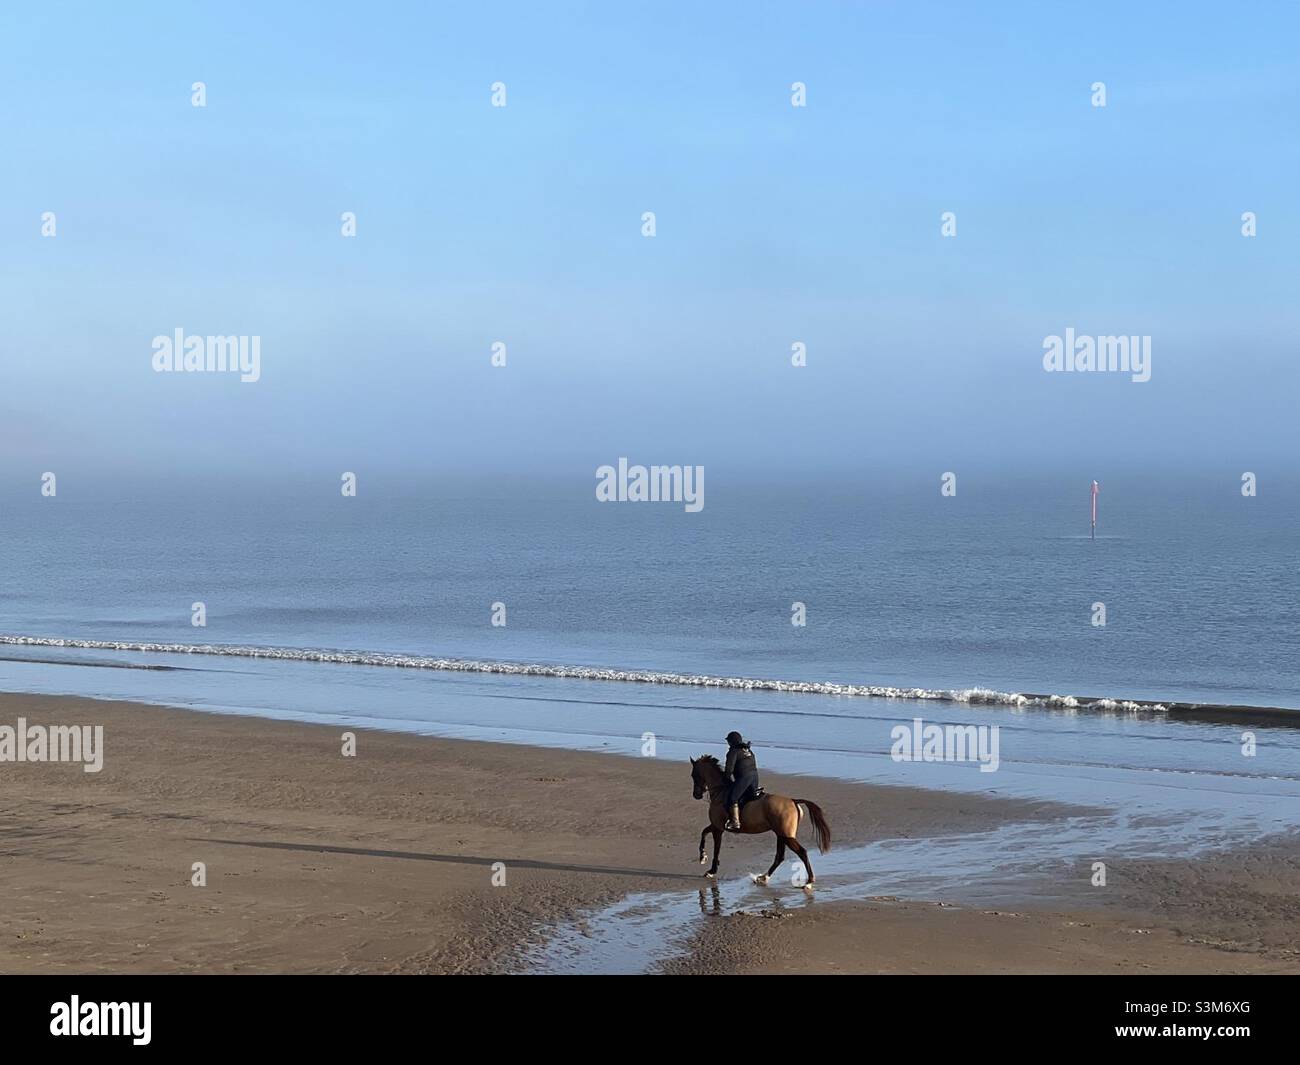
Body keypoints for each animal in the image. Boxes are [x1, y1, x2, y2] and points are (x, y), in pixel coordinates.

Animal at [691, 754, 832, 889]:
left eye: (693, 775)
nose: (696, 795)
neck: (720, 792)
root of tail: (793, 800)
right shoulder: (715, 826)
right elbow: (703, 833)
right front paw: (703, 857)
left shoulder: (718, 828)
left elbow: (716, 848)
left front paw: (710, 869)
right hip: (780, 835)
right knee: (780, 856)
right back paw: (763, 877)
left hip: (786, 836)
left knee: (802, 852)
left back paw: (809, 882)